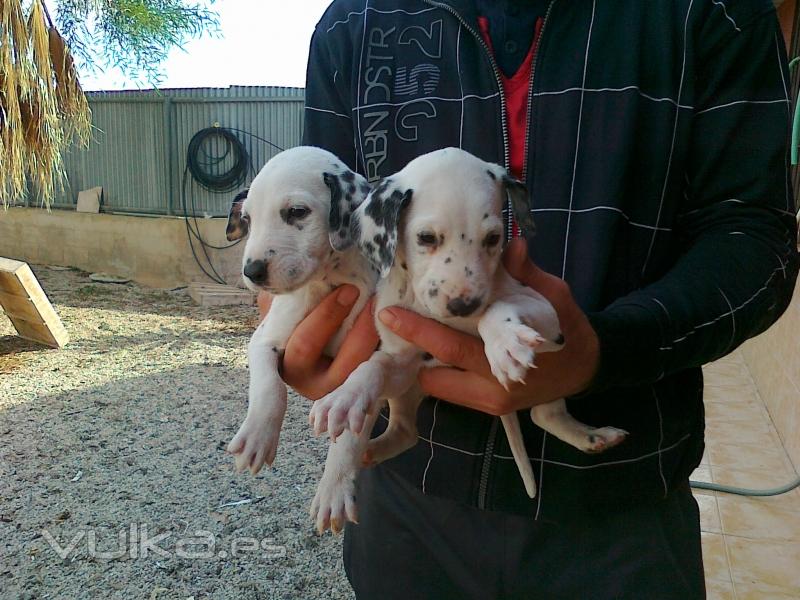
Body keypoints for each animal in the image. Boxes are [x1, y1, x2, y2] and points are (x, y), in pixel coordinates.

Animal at [222, 148, 378, 532]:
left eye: (296, 212)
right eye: (247, 219)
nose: (252, 271)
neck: (332, 280)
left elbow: (349, 434)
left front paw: (334, 489)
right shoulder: (263, 340)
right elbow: (271, 388)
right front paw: (258, 437)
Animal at [310, 148, 628, 500]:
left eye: (493, 238)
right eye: (426, 237)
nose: (464, 305)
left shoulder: (550, 315)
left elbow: (498, 308)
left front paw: (503, 342)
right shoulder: (402, 359)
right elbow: (374, 365)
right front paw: (346, 394)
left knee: (543, 413)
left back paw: (594, 437)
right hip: (407, 387)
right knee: (405, 430)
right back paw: (363, 454)